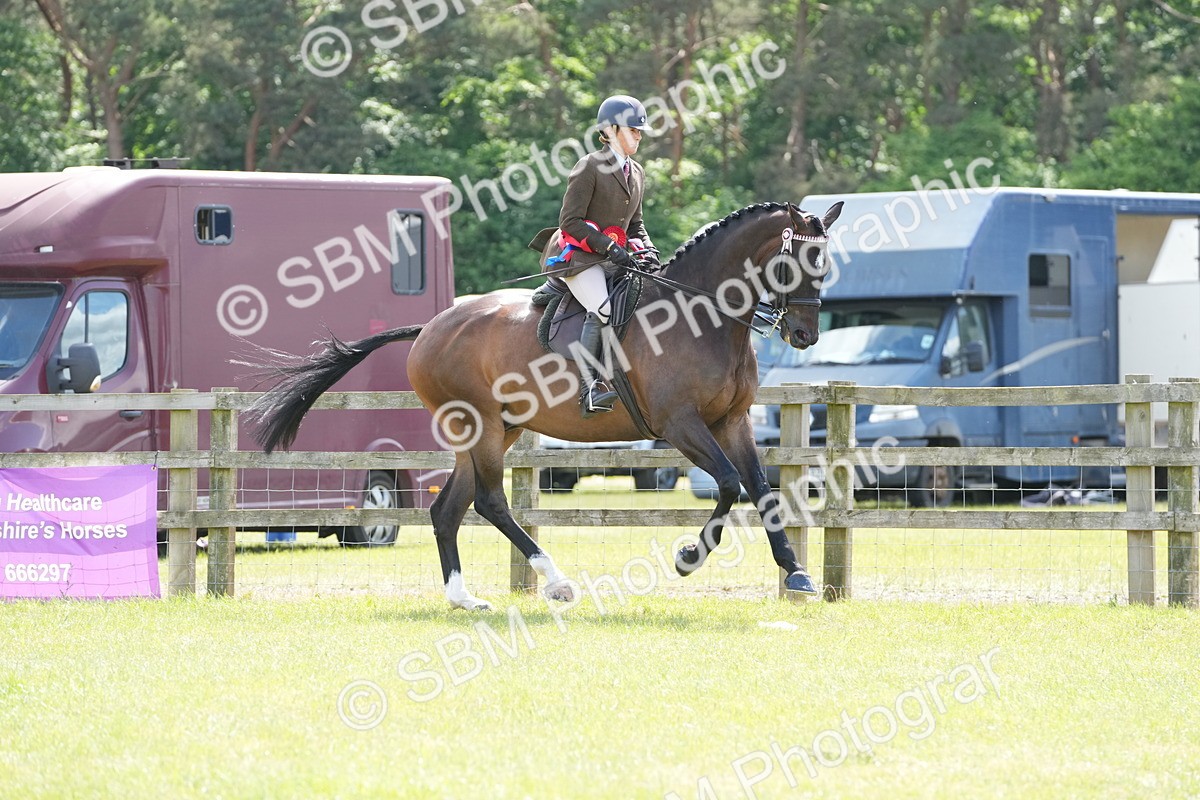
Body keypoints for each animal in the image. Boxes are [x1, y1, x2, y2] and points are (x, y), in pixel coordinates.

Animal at [248, 200, 844, 610]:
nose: (805, 334)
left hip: (492, 430)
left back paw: (464, 599)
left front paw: (796, 574)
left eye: (826, 263)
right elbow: (728, 484)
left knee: (448, 509)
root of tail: (432, 326)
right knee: (490, 503)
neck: (704, 316)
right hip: (482, 427)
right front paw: (687, 559)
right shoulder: (681, 425)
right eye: (795, 263)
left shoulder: (732, 422)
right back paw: (556, 582)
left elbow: (762, 489)